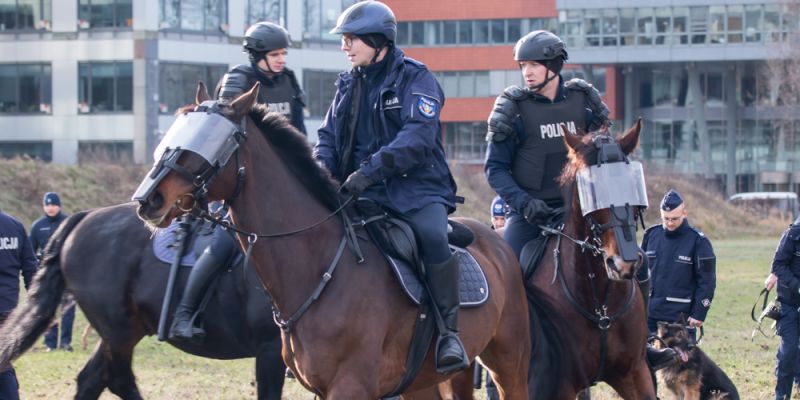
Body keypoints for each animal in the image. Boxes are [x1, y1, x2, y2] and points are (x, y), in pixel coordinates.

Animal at [0, 205, 284, 398]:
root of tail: (86, 216)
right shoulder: (270, 348)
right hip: (119, 331)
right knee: (117, 380)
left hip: (119, 332)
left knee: (91, 380)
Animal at [135, 83, 536, 398]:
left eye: (208, 143)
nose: (148, 199)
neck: (321, 268)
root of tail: (497, 242)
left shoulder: (351, 387)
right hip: (429, 381)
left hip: (509, 362)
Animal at [524, 122, 656, 400]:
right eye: (593, 190)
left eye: (631, 184)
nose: (623, 264)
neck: (600, 307)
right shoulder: (562, 386)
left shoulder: (635, 374)